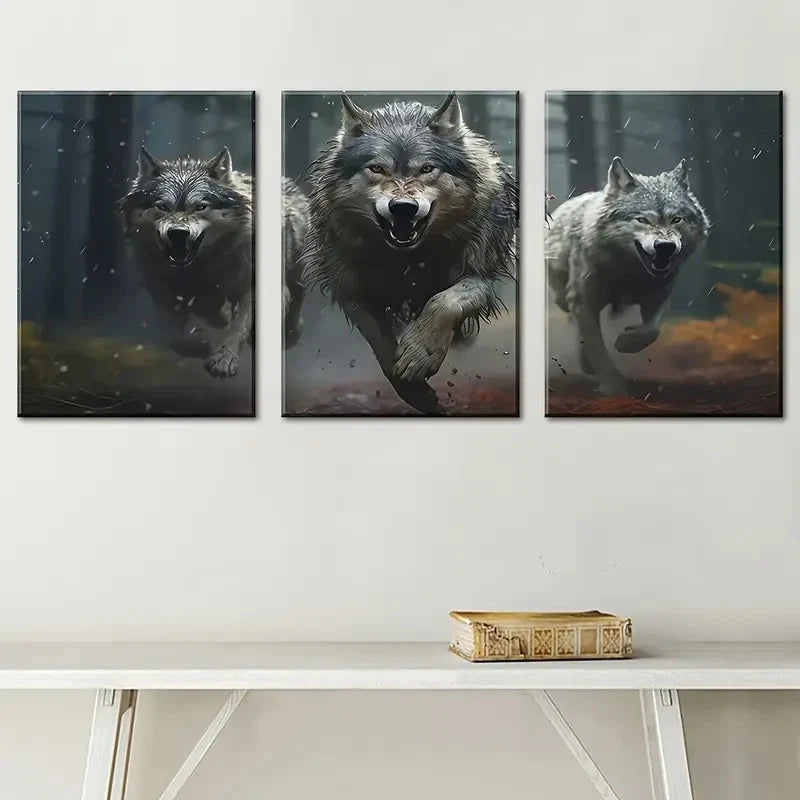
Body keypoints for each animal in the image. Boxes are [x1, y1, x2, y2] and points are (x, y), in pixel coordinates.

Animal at [117, 146, 253, 378]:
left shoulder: (248, 287)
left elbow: (238, 327)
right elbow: (176, 338)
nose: (178, 232)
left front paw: (223, 357)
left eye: (200, 207)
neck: (196, 268)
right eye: (163, 206)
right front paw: (201, 346)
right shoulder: (161, 291)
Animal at [301, 92, 517, 413]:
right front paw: (417, 394)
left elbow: (444, 302)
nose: (403, 207)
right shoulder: (354, 291)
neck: (409, 258)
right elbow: (384, 352)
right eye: (377, 168)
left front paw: (420, 354)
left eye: (427, 169)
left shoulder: (480, 274)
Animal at [547, 156, 710, 394]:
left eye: (676, 219)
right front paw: (614, 388)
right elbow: (599, 350)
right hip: (564, 298)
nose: (665, 246)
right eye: (642, 220)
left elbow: (651, 331)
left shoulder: (658, 298)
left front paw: (624, 342)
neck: (628, 274)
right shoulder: (584, 302)